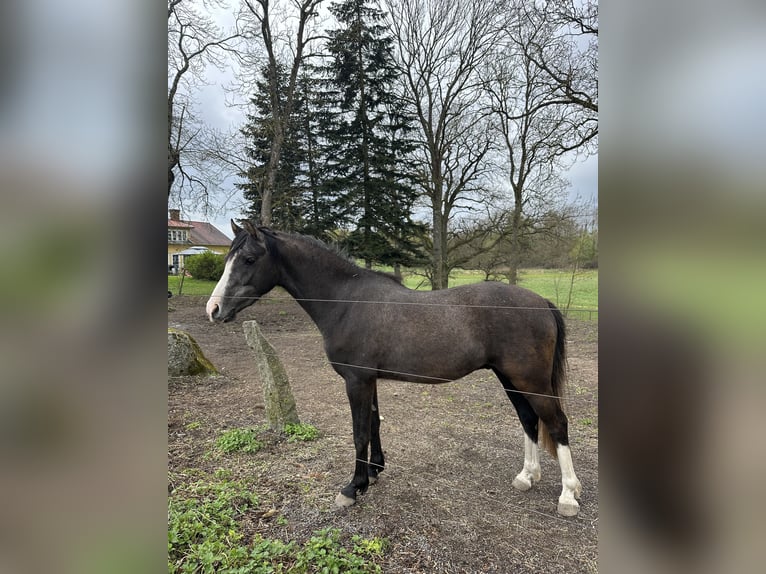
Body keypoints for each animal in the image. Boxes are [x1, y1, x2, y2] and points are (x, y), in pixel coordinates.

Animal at [204, 220, 584, 516]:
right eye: (227, 258)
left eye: (249, 259)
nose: (214, 309)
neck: (346, 300)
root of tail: (541, 302)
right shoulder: (369, 380)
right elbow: (373, 424)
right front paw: (373, 474)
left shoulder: (356, 380)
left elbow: (359, 432)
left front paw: (352, 488)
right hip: (511, 379)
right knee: (529, 420)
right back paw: (527, 476)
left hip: (530, 380)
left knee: (556, 423)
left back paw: (568, 495)